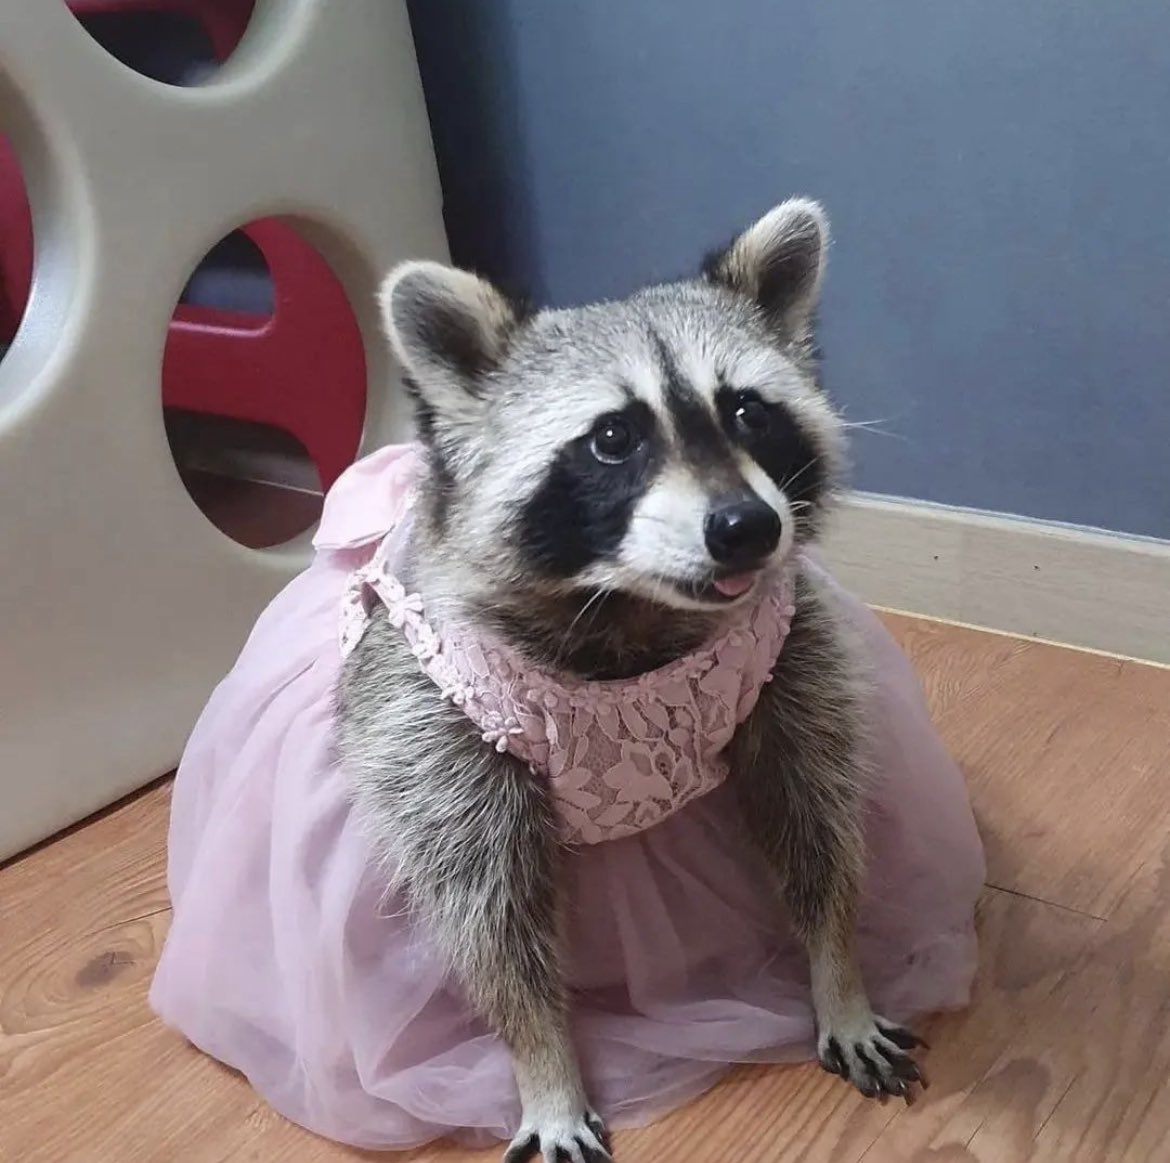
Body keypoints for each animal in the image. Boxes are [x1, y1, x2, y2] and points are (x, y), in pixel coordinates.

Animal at [336, 199, 925, 1163]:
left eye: (748, 411)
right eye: (613, 438)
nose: (747, 526)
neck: (629, 608)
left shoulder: (790, 656)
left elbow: (816, 821)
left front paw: (837, 971)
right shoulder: (437, 728)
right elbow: (489, 915)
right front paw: (543, 1061)